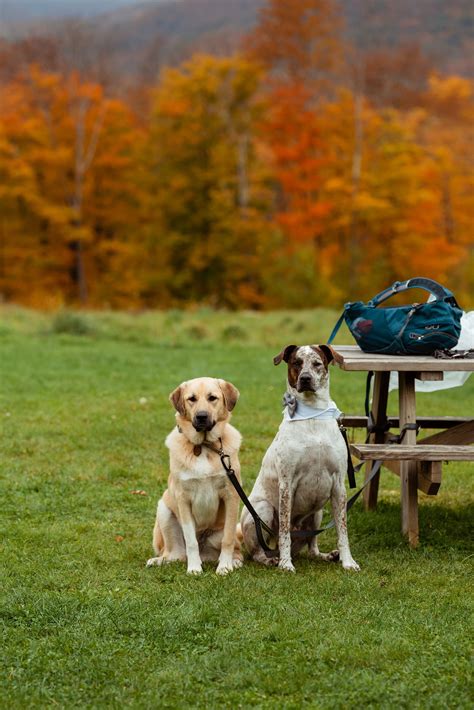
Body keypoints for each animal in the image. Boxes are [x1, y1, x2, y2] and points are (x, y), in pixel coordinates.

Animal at [146, 382, 243, 576]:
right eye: (192, 399)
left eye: (212, 398)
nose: (201, 416)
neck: (204, 446)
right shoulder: (183, 499)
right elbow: (191, 541)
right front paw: (194, 568)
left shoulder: (231, 496)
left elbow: (228, 539)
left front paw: (225, 566)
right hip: (164, 509)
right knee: (175, 554)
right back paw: (159, 561)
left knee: (235, 548)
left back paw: (233, 561)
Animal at [241, 348, 360, 576]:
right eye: (296, 363)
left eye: (317, 363)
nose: (305, 378)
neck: (313, 413)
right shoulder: (287, 484)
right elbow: (284, 531)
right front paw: (286, 564)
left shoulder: (338, 485)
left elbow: (343, 531)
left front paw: (348, 561)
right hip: (262, 510)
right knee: (259, 551)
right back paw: (271, 559)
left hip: (317, 513)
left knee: (312, 546)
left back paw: (326, 555)